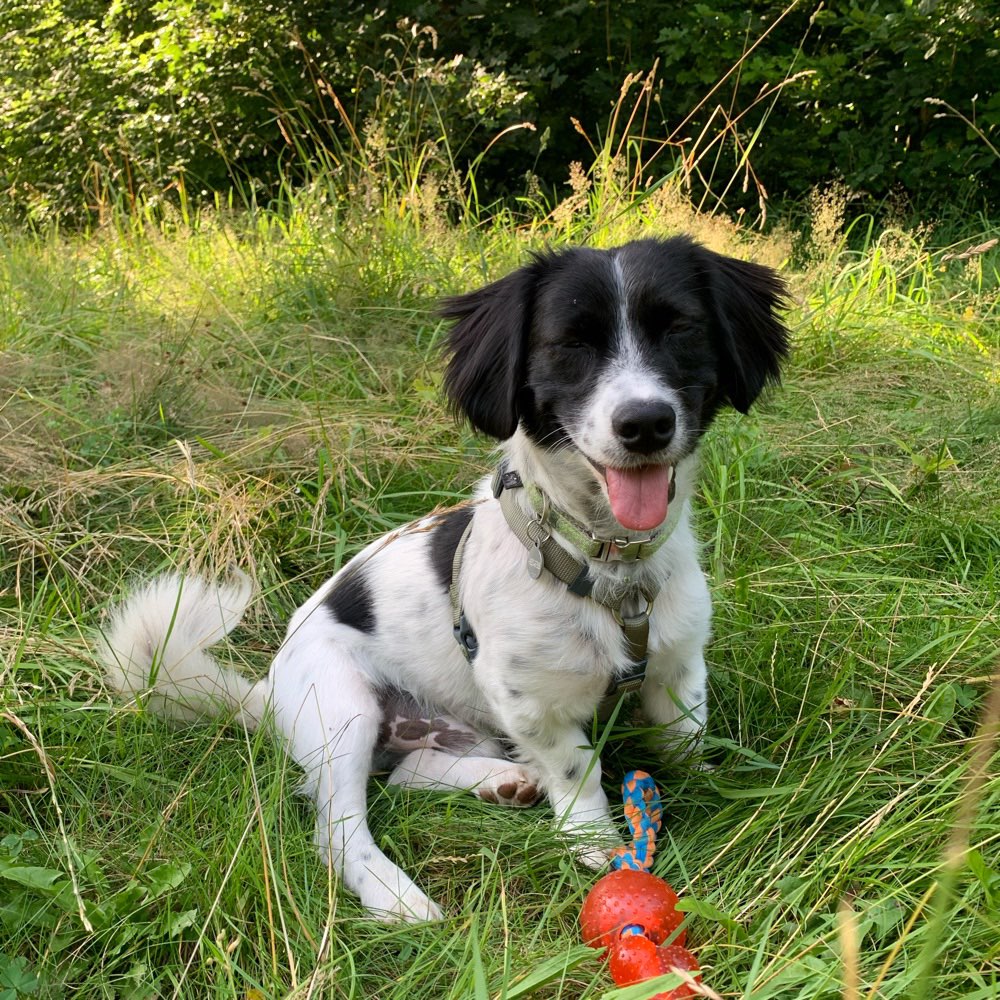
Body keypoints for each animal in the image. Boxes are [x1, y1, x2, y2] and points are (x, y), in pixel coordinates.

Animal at [101, 234, 788, 920]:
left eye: (681, 329)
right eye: (570, 345)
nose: (645, 423)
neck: (607, 562)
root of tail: (266, 692)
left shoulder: (678, 668)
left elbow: (686, 740)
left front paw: (713, 786)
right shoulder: (526, 701)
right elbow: (577, 769)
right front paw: (595, 843)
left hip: (460, 729)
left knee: (410, 772)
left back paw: (504, 782)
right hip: (342, 711)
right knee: (339, 832)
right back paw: (398, 897)